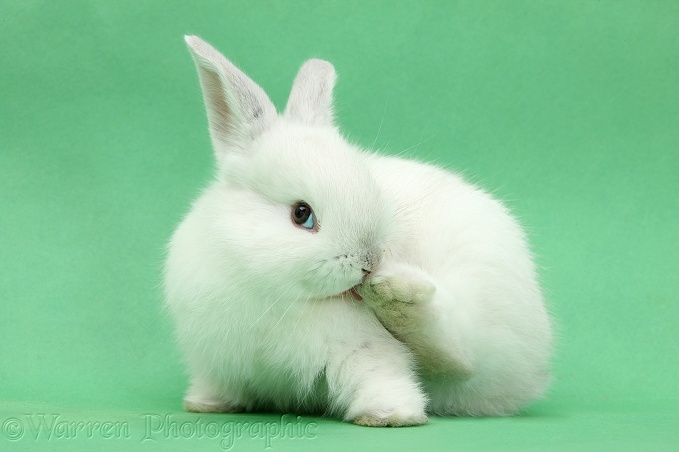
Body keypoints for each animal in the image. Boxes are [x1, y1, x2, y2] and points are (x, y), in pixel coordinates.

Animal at [165, 36, 552, 428]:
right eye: (301, 214)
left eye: (372, 189)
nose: (370, 261)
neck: (279, 295)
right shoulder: (216, 361)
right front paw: (205, 404)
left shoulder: (364, 349)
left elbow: (382, 376)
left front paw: (390, 415)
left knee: (460, 352)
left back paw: (396, 292)